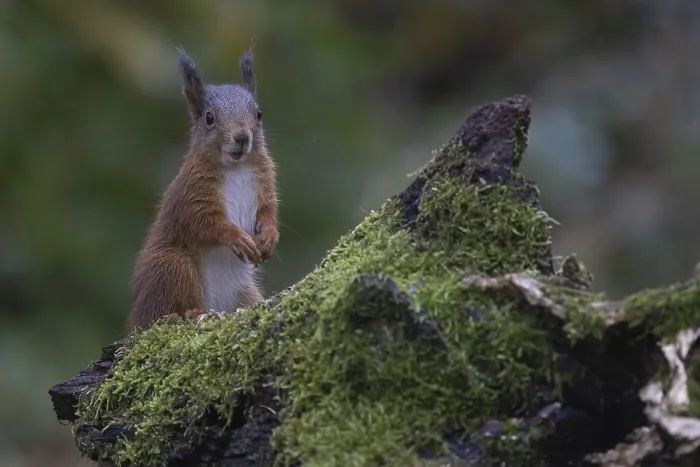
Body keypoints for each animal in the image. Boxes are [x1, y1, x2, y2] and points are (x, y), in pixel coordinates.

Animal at [125, 47, 279, 333]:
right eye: (209, 118)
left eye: (259, 114)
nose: (242, 138)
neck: (236, 167)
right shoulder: (192, 193)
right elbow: (204, 222)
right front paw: (235, 236)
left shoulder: (265, 182)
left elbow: (268, 210)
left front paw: (270, 235)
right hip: (174, 265)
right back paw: (191, 311)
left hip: (243, 292)